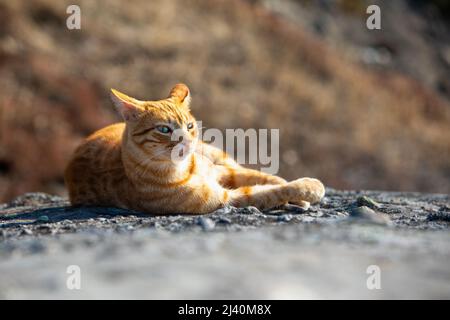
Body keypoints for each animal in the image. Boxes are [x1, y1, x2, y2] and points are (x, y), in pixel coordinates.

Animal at [64, 84, 324, 214]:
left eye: (189, 126)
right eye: (164, 129)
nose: (187, 141)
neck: (186, 169)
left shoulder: (222, 171)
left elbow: (265, 178)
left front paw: (297, 192)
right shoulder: (226, 198)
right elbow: (267, 191)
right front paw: (308, 189)